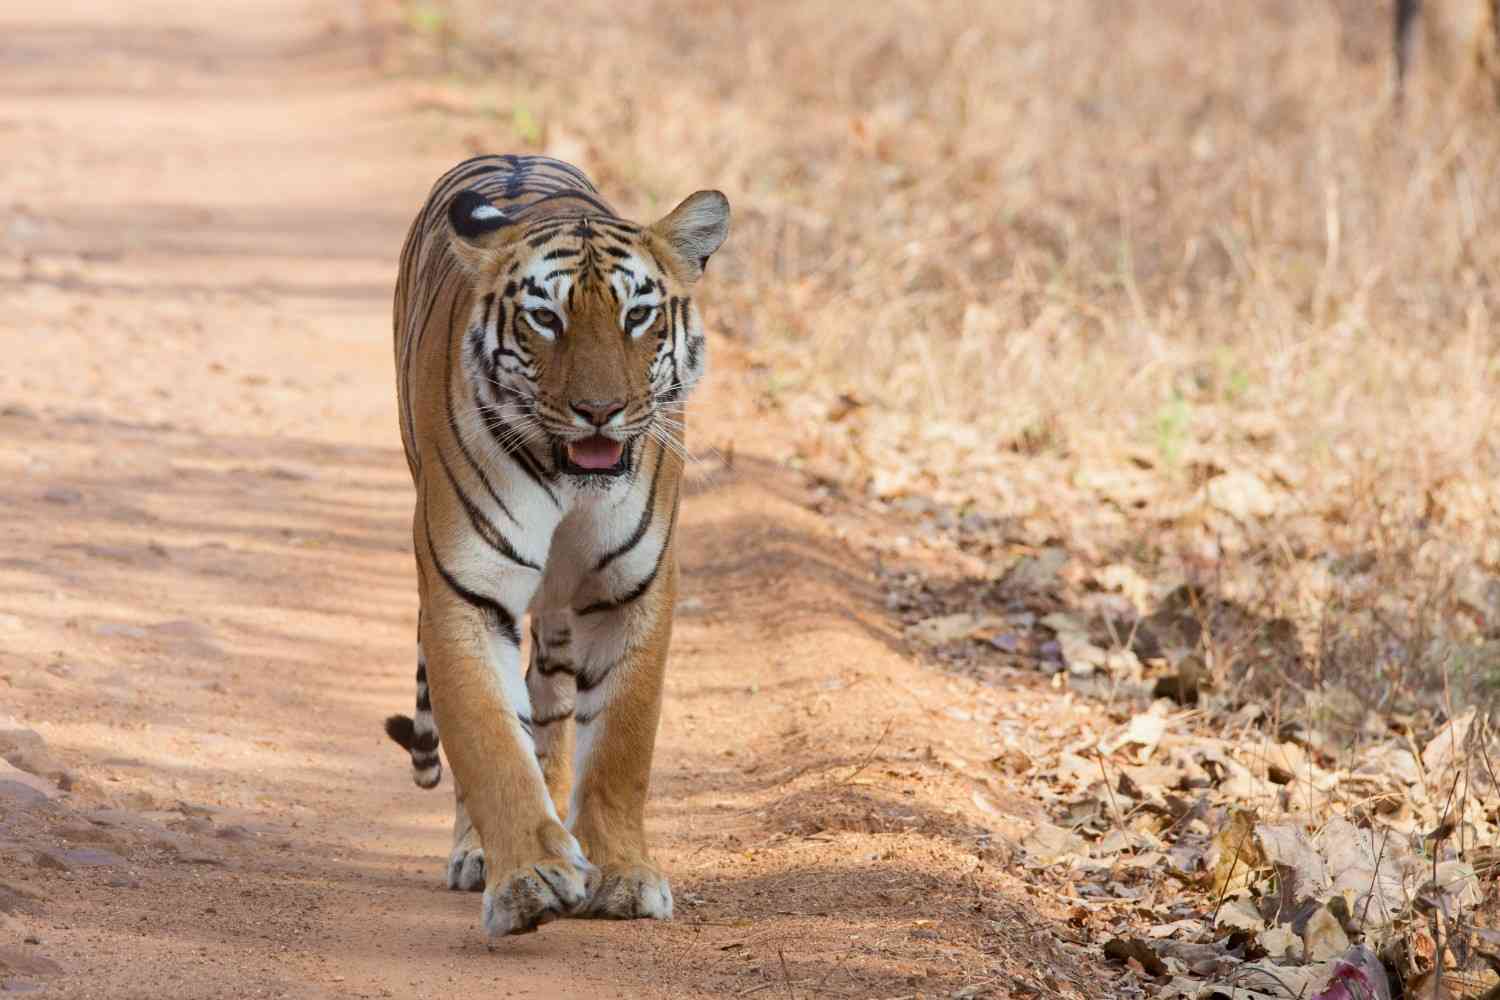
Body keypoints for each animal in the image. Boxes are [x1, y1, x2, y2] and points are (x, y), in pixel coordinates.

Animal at [384, 152, 729, 935]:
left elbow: (620, 744)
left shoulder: (632, 590)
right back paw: (481, 854)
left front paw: (623, 876)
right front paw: (528, 879)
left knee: (551, 707)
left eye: (637, 316)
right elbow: (488, 740)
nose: (600, 411)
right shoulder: (466, 592)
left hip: (563, 617)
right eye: (546, 318)